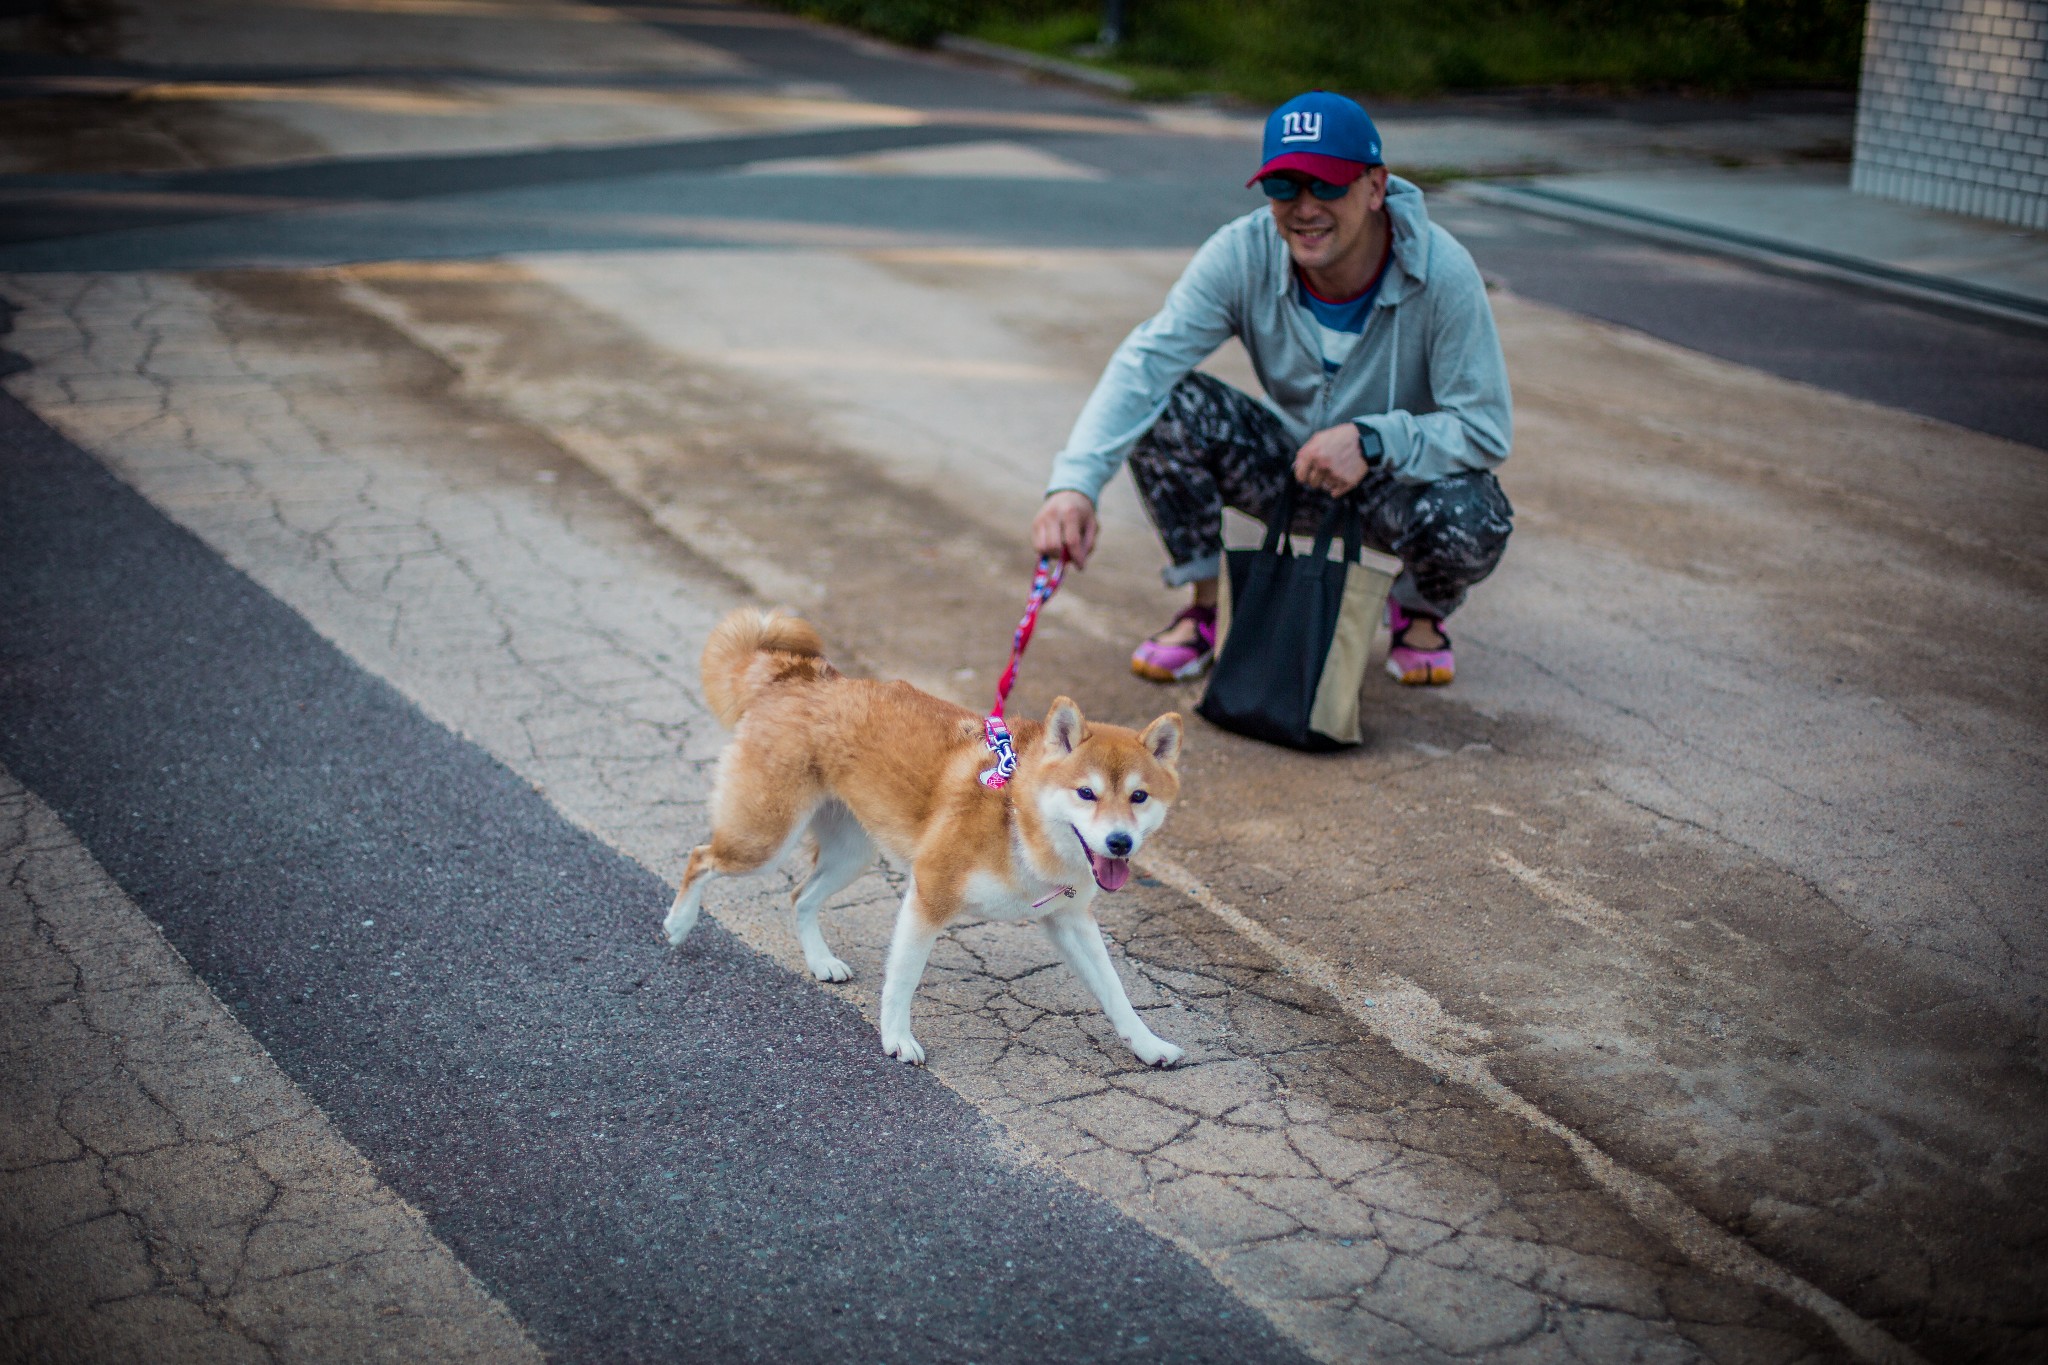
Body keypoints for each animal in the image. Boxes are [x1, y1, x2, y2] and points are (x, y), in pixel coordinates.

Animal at [671, 609, 1187, 1064]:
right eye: (1086, 793)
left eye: (1139, 796)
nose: (1120, 843)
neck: (1016, 820)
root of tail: (796, 677)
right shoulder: (929, 898)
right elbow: (903, 980)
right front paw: (898, 1039)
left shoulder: (1070, 921)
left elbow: (1115, 992)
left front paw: (1149, 1045)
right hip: (765, 841)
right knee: (700, 857)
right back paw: (679, 923)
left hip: (851, 855)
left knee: (800, 896)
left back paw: (820, 960)